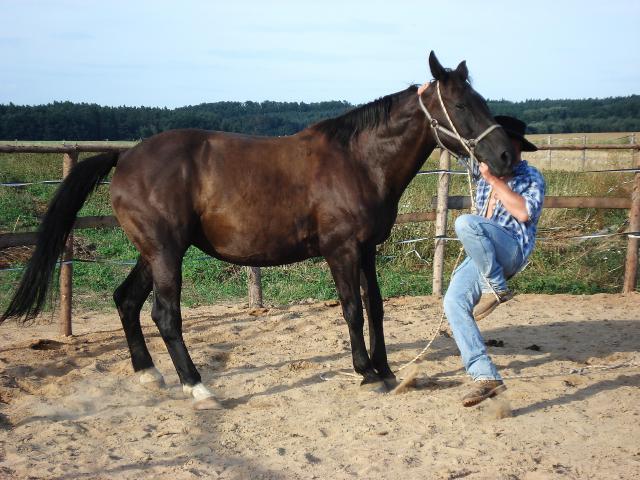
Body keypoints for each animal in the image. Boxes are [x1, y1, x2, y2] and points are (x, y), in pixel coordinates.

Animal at [1, 53, 516, 408]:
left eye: (481, 100)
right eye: (459, 103)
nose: (506, 156)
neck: (356, 161)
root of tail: (125, 156)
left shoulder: (368, 249)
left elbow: (375, 307)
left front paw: (386, 370)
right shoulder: (341, 250)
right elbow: (351, 309)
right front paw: (366, 372)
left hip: (154, 253)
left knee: (125, 300)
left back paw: (150, 374)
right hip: (166, 253)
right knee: (165, 315)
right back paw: (197, 387)